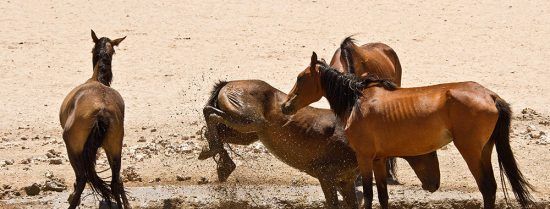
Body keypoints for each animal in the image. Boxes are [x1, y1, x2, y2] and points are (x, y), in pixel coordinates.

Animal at [59, 29, 130, 209]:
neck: (97, 79)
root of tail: (101, 111)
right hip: (114, 148)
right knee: (115, 182)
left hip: (73, 150)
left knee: (82, 178)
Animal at [198, 79, 440, 208]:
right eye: (428, 151)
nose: (435, 184)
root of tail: (228, 84)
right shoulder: (326, 176)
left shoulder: (345, 181)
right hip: (249, 122)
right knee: (210, 113)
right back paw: (217, 157)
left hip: (249, 134)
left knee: (214, 126)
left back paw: (219, 161)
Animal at [280, 51, 536, 207]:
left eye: (300, 78)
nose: (285, 106)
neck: (357, 101)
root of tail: (490, 95)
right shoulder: (379, 159)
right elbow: (382, 196)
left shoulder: (365, 157)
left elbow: (370, 195)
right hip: (484, 150)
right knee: (490, 189)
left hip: (471, 151)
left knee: (486, 188)